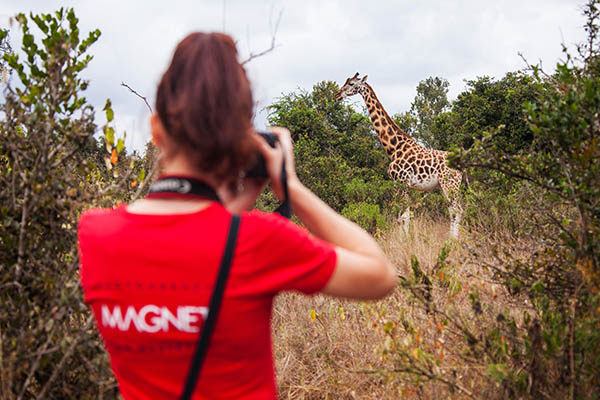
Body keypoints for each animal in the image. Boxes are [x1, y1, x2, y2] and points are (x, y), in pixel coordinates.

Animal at [332, 72, 464, 238]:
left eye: (351, 84)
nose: (337, 94)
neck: (393, 148)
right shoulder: (399, 184)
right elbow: (402, 215)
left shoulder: (402, 182)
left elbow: (404, 215)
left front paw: (404, 241)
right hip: (443, 186)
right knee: (453, 210)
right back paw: (451, 239)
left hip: (450, 185)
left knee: (458, 210)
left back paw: (453, 241)